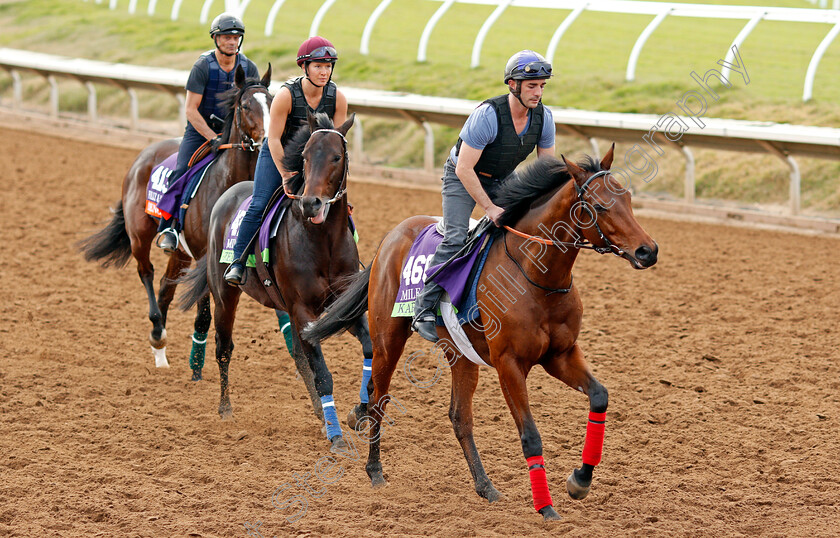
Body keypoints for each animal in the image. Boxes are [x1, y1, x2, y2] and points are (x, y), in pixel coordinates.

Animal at [79, 63, 272, 368]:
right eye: (245, 105)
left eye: (272, 102)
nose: (266, 141)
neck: (228, 181)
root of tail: (142, 156)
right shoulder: (204, 253)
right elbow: (204, 312)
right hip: (139, 234)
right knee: (146, 272)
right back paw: (157, 333)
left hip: (181, 252)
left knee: (165, 287)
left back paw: (160, 353)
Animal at [180, 111, 370, 450]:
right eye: (305, 156)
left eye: (337, 156)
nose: (311, 203)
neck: (323, 241)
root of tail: (224, 198)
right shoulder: (303, 310)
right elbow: (323, 374)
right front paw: (336, 437)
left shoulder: (342, 307)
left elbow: (369, 350)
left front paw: (357, 413)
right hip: (225, 294)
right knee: (223, 348)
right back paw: (225, 409)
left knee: (299, 358)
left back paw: (320, 414)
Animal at [306, 144, 660, 516]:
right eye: (600, 206)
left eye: (628, 198)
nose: (647, 250)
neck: (537, 277)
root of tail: (392, 236)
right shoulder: (509, 364)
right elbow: (530, 434)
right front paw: (546, 509)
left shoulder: (560, 355)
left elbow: (600, 396)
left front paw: (580, 480)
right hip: (388, 339)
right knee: (378, 398)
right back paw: (374, 470)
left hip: (461, 354)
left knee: (459, 417)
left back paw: (485, 486)